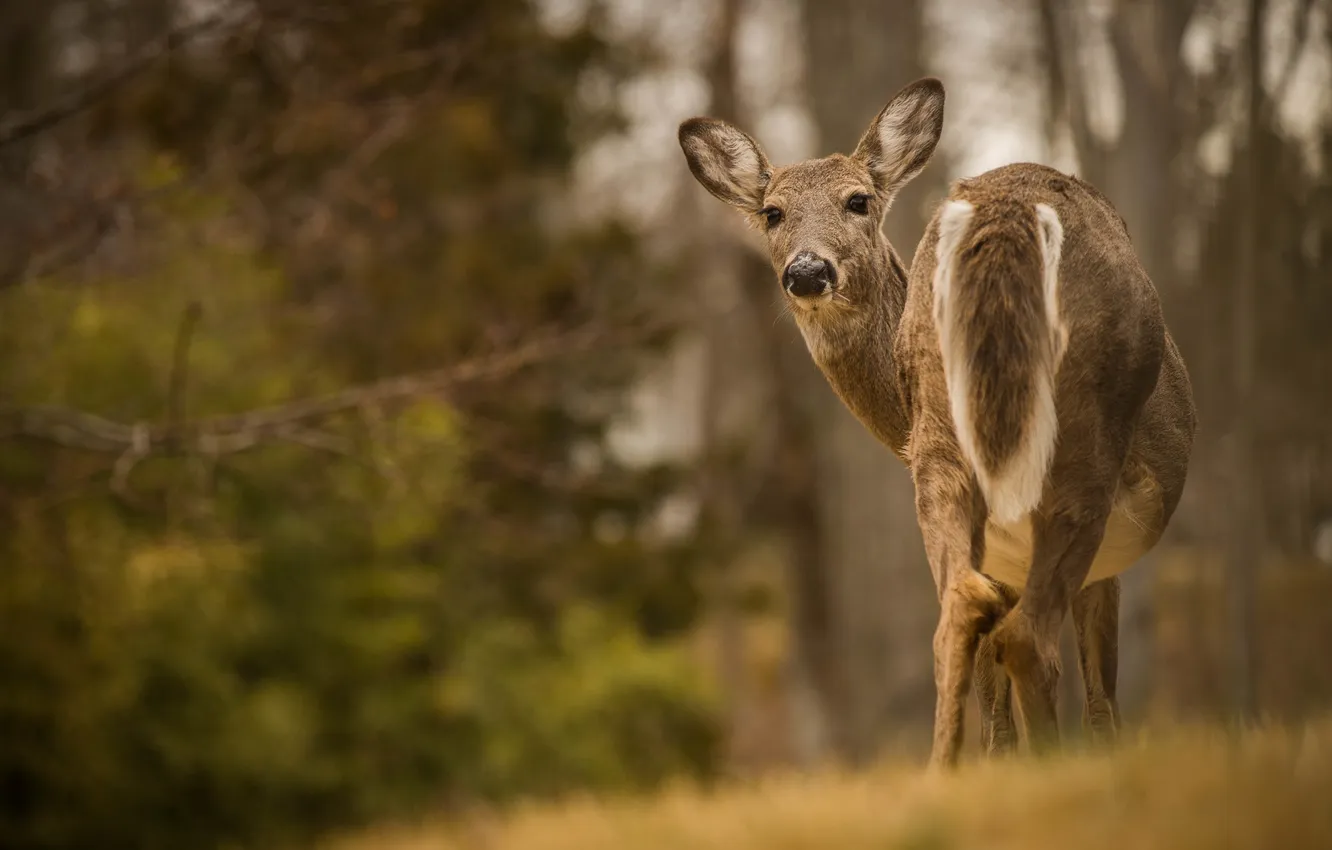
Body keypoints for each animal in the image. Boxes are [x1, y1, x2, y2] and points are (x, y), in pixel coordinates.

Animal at [676, 81, 1198, 772]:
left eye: (858, 200)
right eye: (771, 212)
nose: (808, 271)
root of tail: (1004, 221)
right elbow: (1099, 691)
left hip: (943, 437)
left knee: (964, 611)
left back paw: (943, 773)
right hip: (1084, 433)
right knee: (1028, 637)